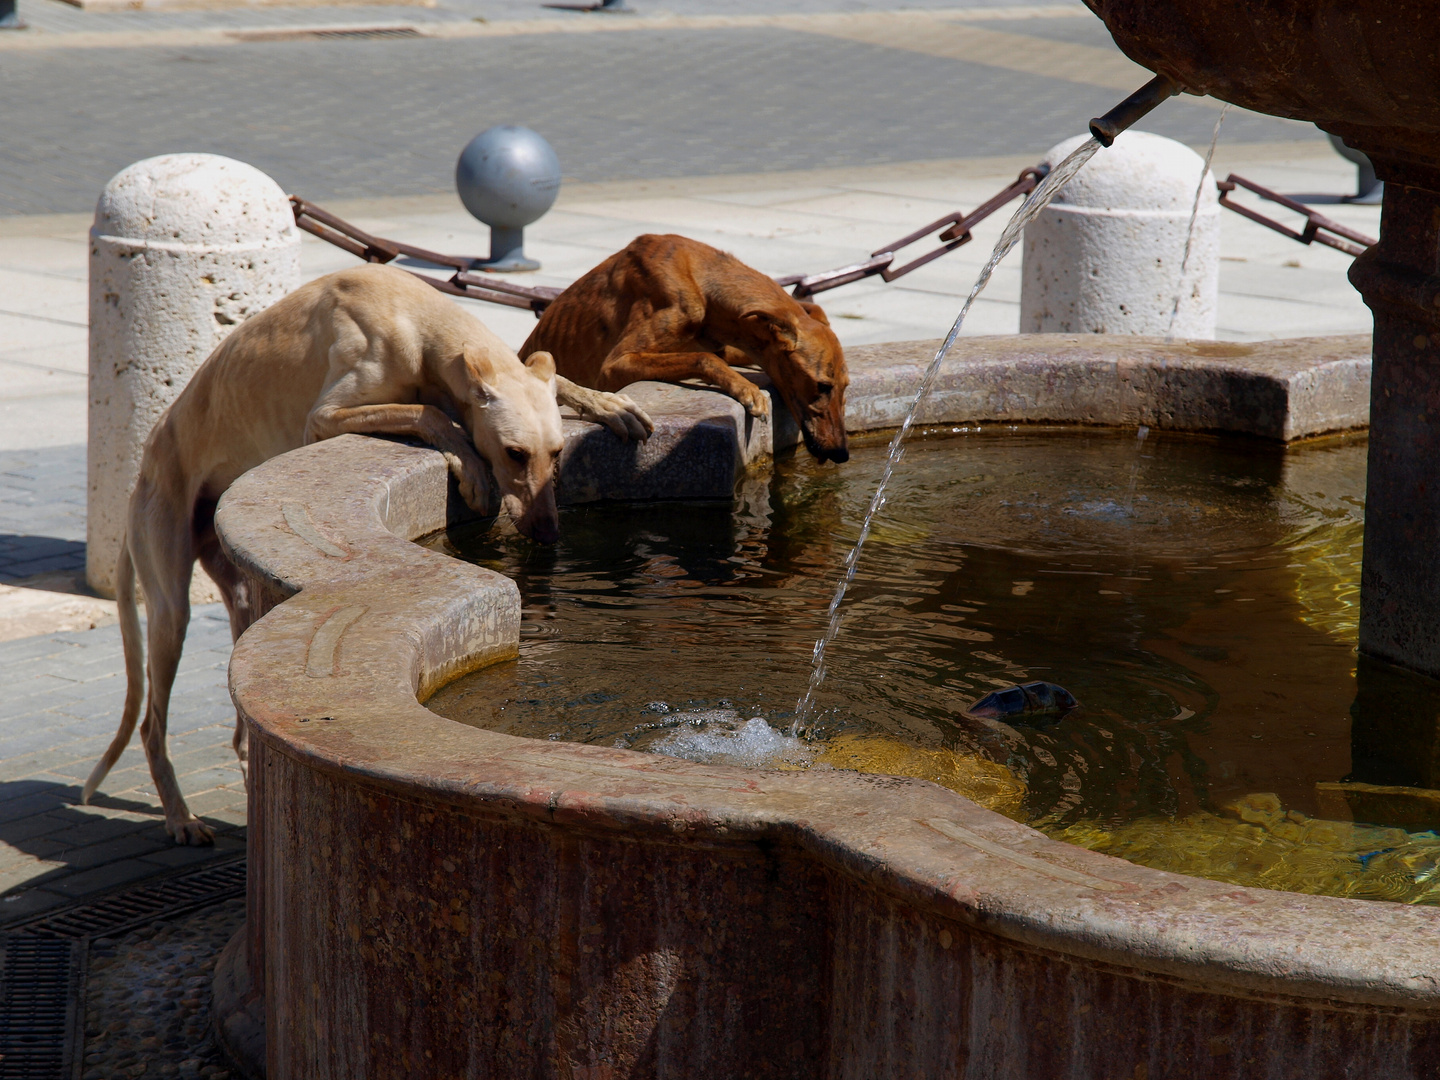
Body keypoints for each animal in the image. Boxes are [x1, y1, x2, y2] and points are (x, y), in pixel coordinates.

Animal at [78, 264, 653, 846]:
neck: (413, 320)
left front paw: (608, 403)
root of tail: (142, 472)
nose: (549, 534)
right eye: (515, 454)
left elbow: (543, 379)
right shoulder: (326, 416)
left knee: (240, 736)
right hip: (170, 604)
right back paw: (180, 818)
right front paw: (471, 467)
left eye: (556, 453)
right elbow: (428, 411)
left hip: (239, 597)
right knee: (151, 724)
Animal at [524, 234, 846, 463]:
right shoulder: (614, 366)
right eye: (822, 385)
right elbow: (704, 358)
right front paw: (748, 389)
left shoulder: (726, 343)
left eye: (845, 386)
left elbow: (716, 354)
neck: (702, 280)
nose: (842, 454)